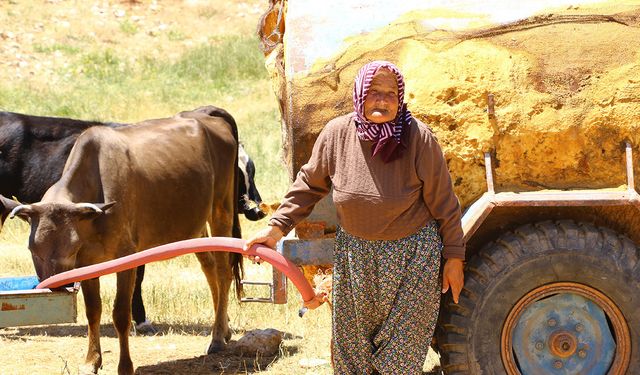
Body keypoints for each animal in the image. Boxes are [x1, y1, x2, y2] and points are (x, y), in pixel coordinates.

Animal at [10, 107, 245, 374]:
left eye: (71, 247)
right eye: (33, 248)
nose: (58, 285)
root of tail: (203, 113)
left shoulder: (126, 256)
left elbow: (121, 313)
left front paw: (125, 365)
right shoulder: (87, 262)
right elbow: (93, 310)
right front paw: (92, 360)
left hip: (221, 210)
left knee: (223, 272)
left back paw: (217, 337)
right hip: (195, 227)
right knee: (210, 269)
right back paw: (224, 329)